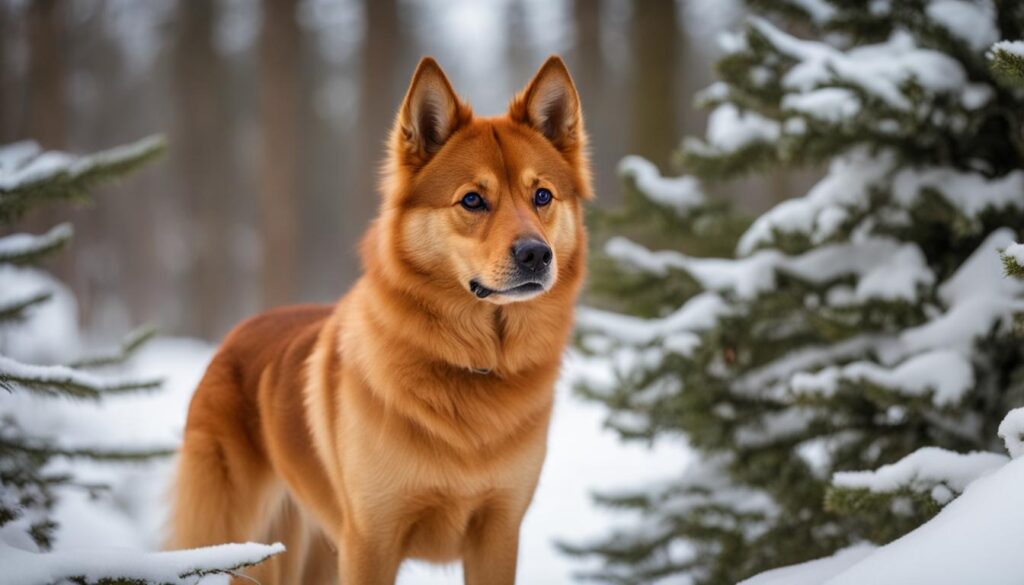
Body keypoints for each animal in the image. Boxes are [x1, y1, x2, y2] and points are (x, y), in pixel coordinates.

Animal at [167, 56, 593, 585]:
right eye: (473, 200)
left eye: (542, 196)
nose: (537, 254)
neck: (472, 364)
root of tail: (240, 331)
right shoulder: (371, 539)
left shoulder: (499, 533)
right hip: (225, 537)